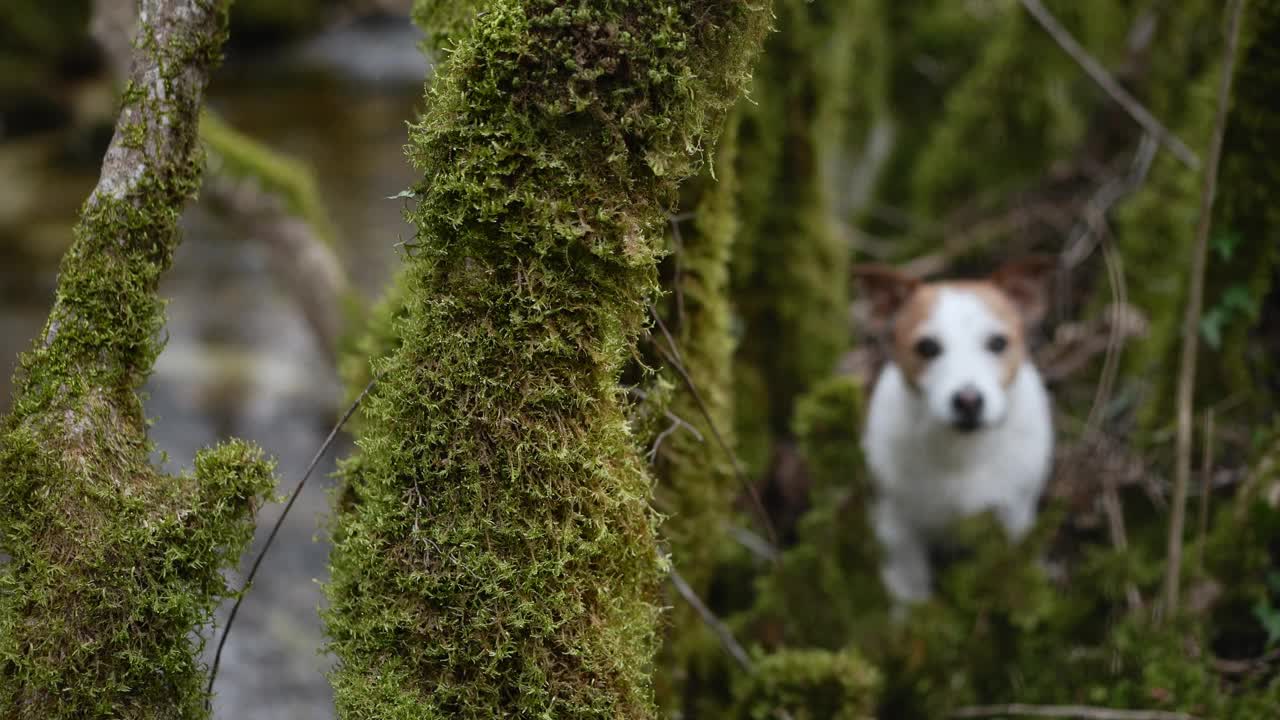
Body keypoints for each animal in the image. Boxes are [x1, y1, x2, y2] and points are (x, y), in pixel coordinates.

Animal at [855, 256, 1054, 604]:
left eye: (998, 343)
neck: (962, 452)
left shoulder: (1015, 514)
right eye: (927, 347)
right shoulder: (896, 526)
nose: (968, 401)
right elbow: (911, 589)